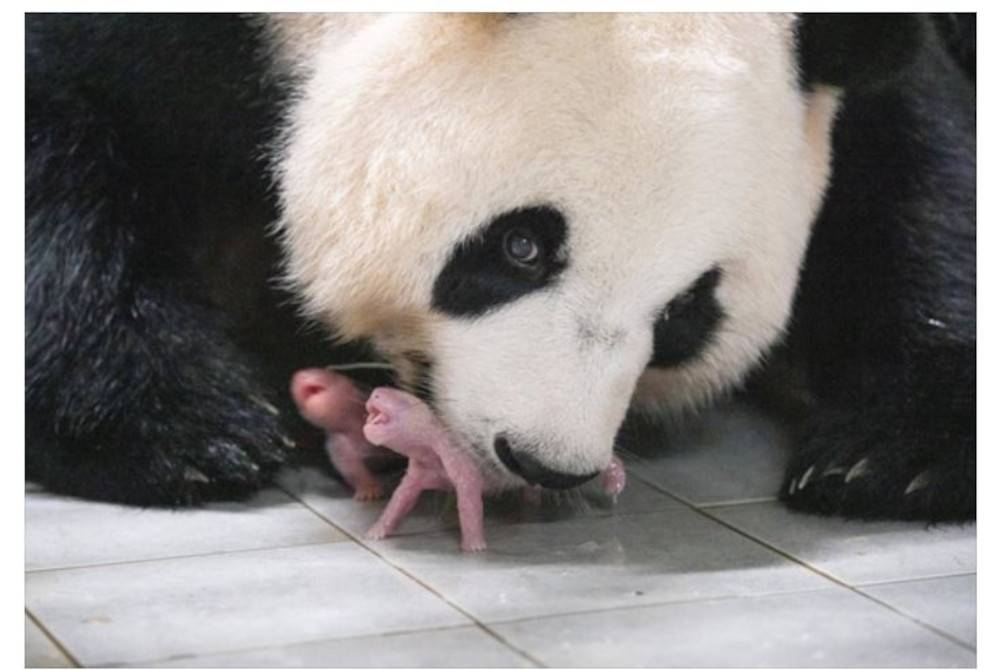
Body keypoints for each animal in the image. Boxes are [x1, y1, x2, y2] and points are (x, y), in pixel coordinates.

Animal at [25, 13, 975, 521]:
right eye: (522, 246)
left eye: (685, 314)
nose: (546, 461)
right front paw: (182, 430)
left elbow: (916, 174)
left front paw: (890, 458)